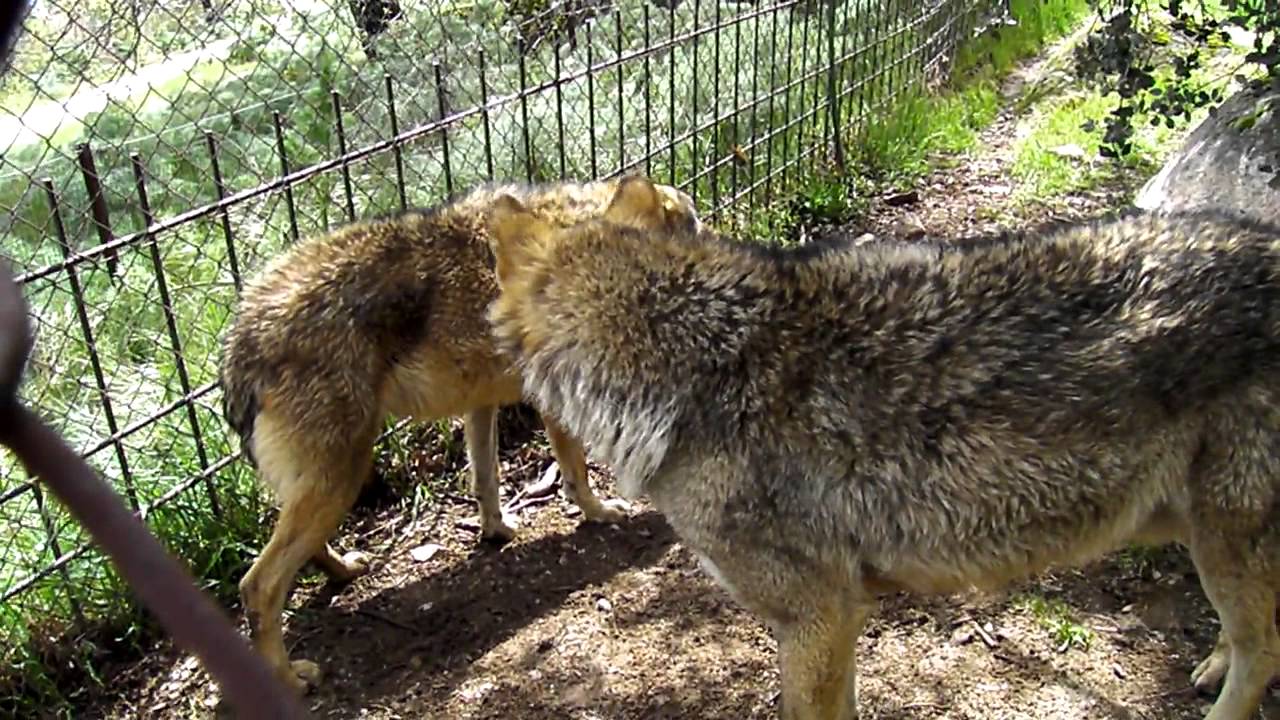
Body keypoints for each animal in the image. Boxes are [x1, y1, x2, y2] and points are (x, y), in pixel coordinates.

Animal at [218, 177, 701, 692]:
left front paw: (495, 531)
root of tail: (241, 340)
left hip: (323, 481)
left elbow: (486, 479)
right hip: (342, 475)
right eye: (693, 224)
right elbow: (577, 470)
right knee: (258, 585)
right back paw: (287, 678)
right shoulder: (559, 399)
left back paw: (344, 570)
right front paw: (600, 512)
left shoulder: (480, 403)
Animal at [485, 175, 1280, 720]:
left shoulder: (818, 619)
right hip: (1197, 531)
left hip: (1224, 536)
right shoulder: (841, 620)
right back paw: (1210, 663)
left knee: (1264, 650)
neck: (692, 365)